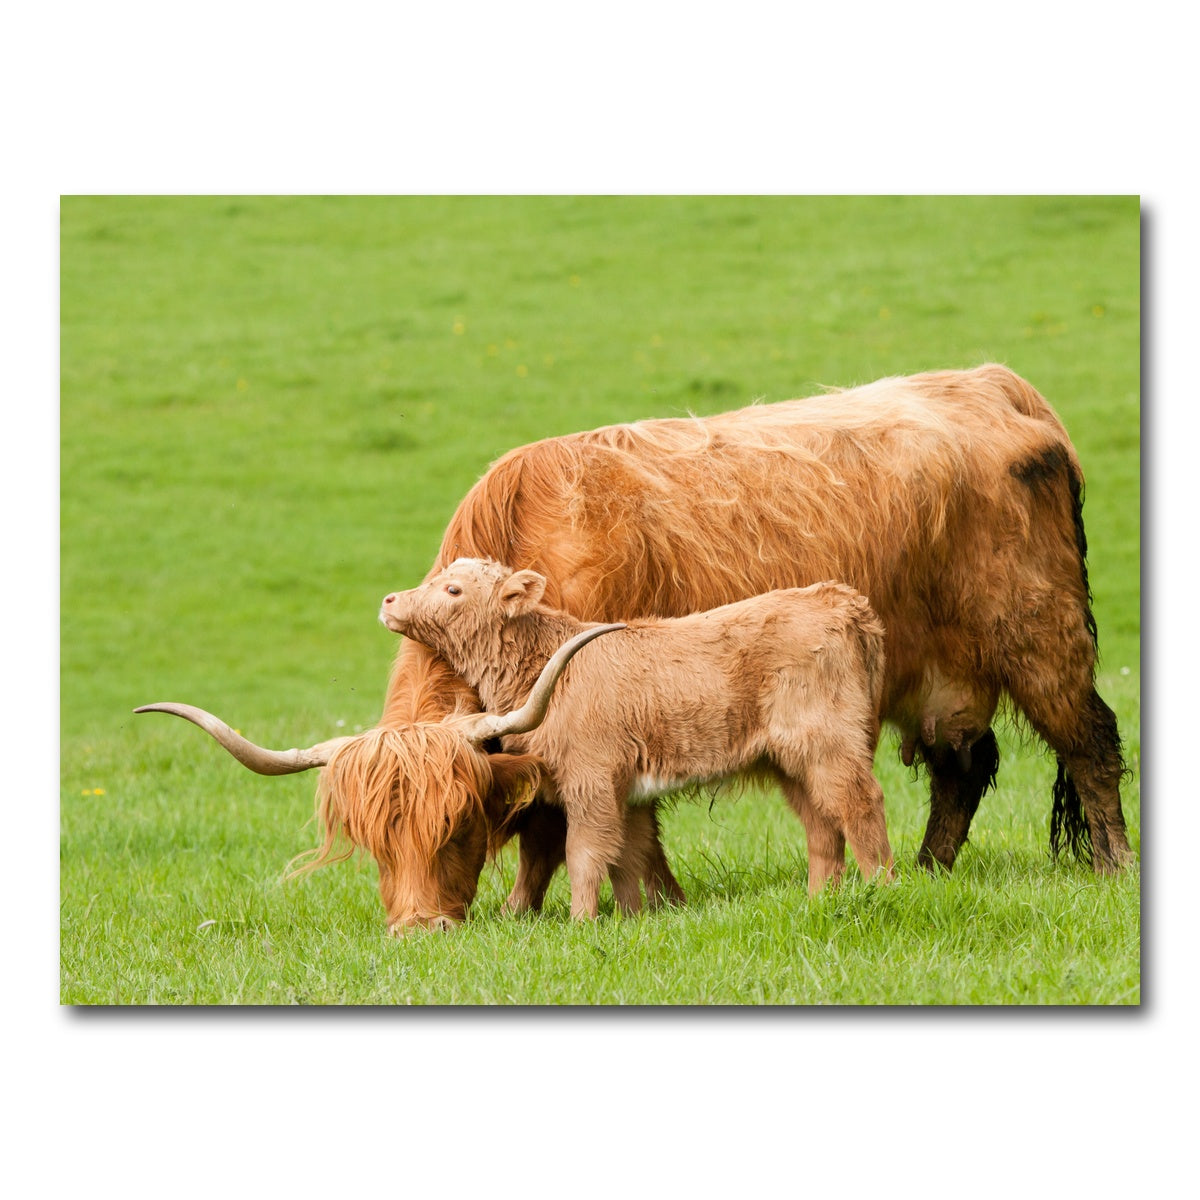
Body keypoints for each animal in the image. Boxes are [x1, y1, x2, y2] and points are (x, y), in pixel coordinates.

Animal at [379, 560, 894, 918]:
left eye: (453, 589)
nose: (388, 600)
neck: (546, 665)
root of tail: (841, 599)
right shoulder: (628, 793)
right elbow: (629, 855)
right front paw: (632, 919)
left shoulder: (591, 781)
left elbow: (585, 854)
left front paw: (581, 923)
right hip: (792, 761)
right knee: (821, 824)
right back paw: (819, 901)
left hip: (830, 744)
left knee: (859, 805)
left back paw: (882, 889)